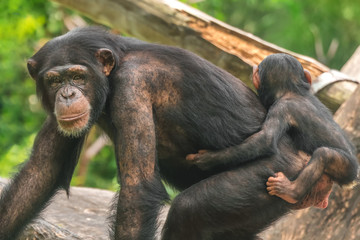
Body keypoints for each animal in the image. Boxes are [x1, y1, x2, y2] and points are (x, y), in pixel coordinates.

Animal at [0, 28, 332, 240]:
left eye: (78, 76)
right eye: (55, 80)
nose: (67, 95)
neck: (112, 71)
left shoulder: (133, 84)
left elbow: (138, 190)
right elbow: (41, 171)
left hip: (277, 176)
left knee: (188, 212)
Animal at [187, 53, 358, 207]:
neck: (292, 90)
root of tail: (355, 178)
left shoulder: (280, 108)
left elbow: (265, 140)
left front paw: (207, 158)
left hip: (346, 167)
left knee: (324, 155)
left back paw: (290, 192)